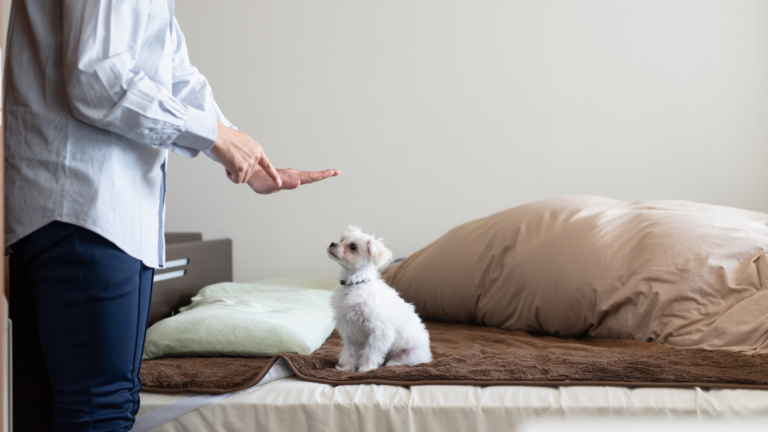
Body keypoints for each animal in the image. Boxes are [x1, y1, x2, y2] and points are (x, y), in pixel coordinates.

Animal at [326, 226, 432, 372]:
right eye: (342, 240)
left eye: (353, 247)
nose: (332, 243)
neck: (355, 284)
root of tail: (427, 355)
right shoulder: (351, 332)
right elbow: (349, 352)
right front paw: (347, 369)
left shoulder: (379, 332)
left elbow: (371, 352)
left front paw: (365, 369)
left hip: (411, 353)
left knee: (404, 361)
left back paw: (393, 363)